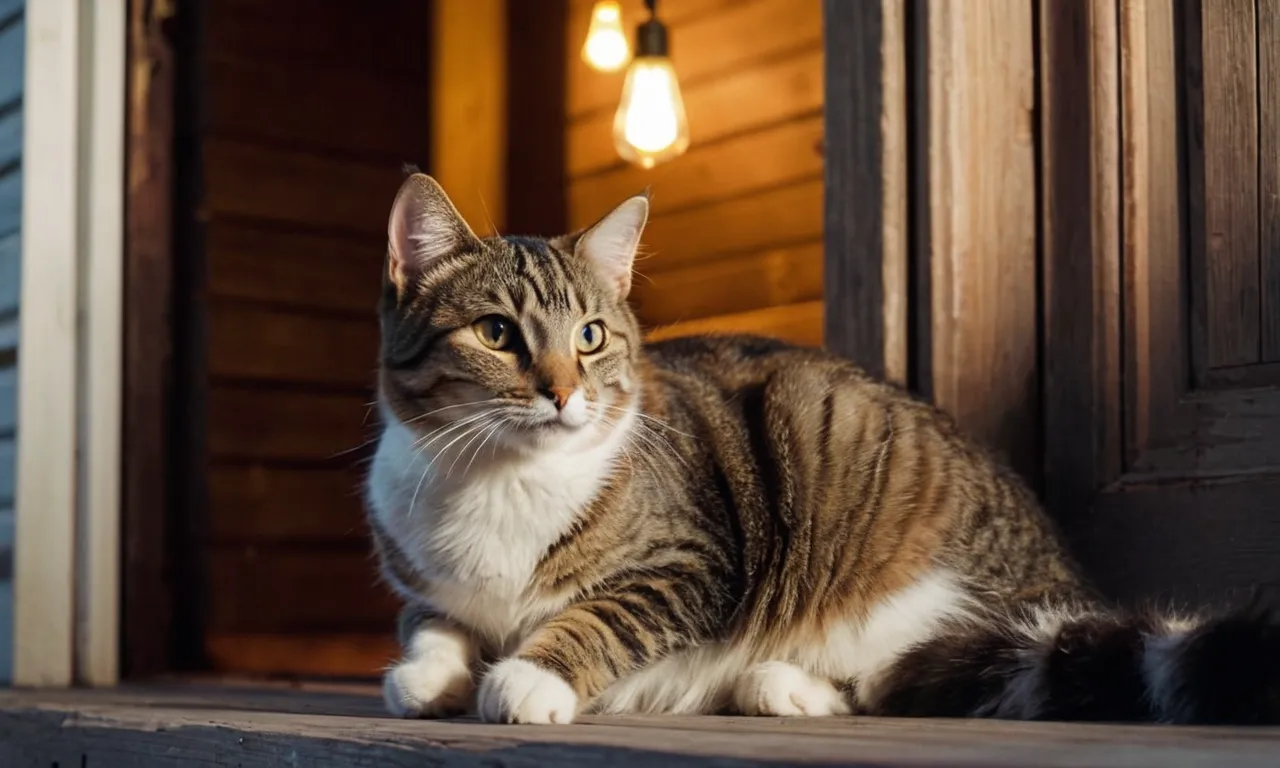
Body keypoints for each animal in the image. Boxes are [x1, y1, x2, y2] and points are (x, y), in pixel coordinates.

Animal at [366, 172, 1280, 727]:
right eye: (496, 333)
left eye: (590, 336)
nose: (563, 393)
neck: (499, 479)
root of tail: (1060, 582)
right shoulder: (418, 577)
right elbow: (431, 623)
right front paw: (428, 673)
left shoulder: (691, 560)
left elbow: (604, 615)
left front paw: (528, 675)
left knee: (893, 676)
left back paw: (782, 679)